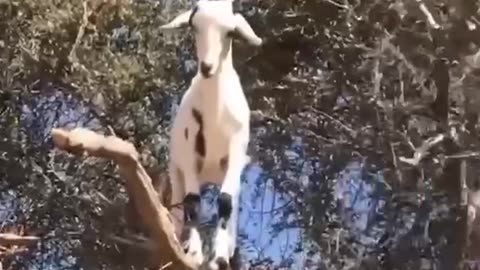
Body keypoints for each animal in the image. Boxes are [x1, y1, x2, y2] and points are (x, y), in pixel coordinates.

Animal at [159, 1, 260, 268]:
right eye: (194, 26)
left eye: (231, 32)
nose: (207, 67)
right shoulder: (189, 155)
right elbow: (192, 202)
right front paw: (195, 252)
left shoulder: (236, 151)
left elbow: (225, 201)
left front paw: (219, 257)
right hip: (177, 171)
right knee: (179, 206)